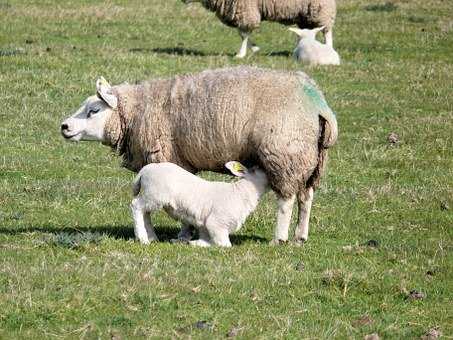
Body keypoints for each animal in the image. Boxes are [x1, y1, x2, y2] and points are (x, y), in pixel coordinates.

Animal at [132, 161, 270, 246]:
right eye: (260, 169)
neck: (240, 193)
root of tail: (145, 169)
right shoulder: (216, 224)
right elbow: (224, 244)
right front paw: (193, 243)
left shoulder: (205, 226)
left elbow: (206, 239)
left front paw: (186, 242)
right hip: (154, 194)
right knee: (136, 206)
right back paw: (142, 238)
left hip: (152, 196)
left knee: (146, 213)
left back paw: (152, 237)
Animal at [181, 0, 336, 57]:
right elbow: (242, 33)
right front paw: (254, 48)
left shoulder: (246, 10)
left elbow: (243, 34)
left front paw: (241, 54)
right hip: (304, 14)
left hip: (321, 9)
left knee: (327, 30)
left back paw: (328, 49)